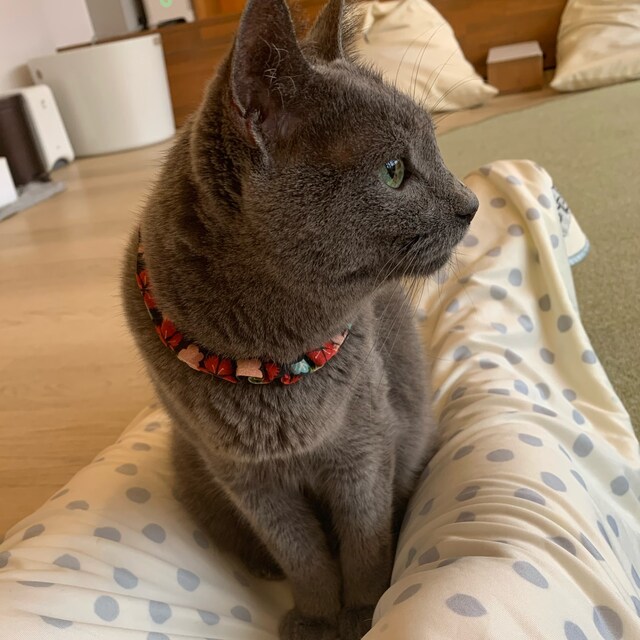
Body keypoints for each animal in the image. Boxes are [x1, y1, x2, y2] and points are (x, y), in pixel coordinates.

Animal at [121, 0, 478, 638]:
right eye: (394, 170)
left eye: (436, 150)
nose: (472, 205)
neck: (272, 357)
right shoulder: (248, 479)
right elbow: (300, 552)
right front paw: (315, 616)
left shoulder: (365, 446)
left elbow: (363, 541)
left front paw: (363, 612)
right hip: (190, 466)